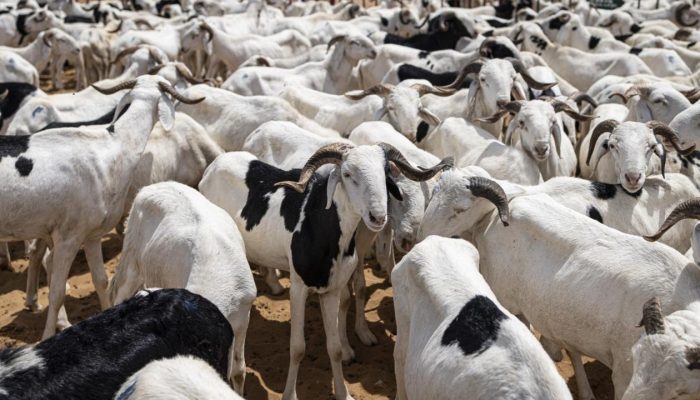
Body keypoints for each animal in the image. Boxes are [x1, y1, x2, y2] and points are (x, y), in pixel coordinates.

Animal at [0, 75, 205, 339]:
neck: (114, 146)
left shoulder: (92, 236)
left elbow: (101, 281)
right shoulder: (69, 237)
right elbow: (56, 293)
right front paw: (47, 336)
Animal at [199, 144, 451, 400]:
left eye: (384, 174)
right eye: (347, 174)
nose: (378, 217)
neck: (321, 225)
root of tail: (214, 165)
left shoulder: (332, 290)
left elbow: (335, 348)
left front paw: (343, 393)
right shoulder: (299, 288)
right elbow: (297, 348)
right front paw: (290, 395)